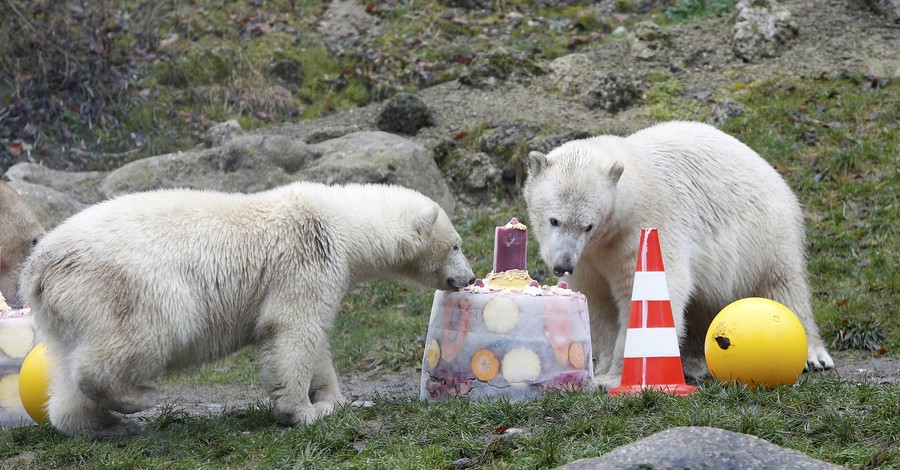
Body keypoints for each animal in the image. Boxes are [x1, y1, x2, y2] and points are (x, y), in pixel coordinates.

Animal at [19, 181, 478, 436]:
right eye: (456, 245)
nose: (469, 277)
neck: (342, 223)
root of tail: (41, 266)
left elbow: (317, 343)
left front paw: (340, 401)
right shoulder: (308, 258)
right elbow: (292, 330)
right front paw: (302, 412)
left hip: (66, 307)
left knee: (65, 368)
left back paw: (102, 425)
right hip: (129, 286)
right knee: (143, 336)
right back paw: (137, 399)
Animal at [524, 120, 832, 390]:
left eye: (587, 225)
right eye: (554, 220)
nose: (562, 265)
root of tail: (770, 169)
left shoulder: (645, 227)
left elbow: (648, 291)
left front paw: (615, 377)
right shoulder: (589, 257)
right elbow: (597, 301)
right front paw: (602, 371)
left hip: (765, 234)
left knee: (782, 284)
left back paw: (814, 355)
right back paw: (695, 362)